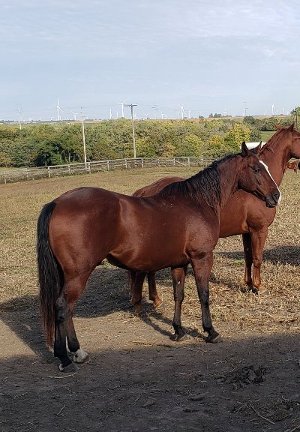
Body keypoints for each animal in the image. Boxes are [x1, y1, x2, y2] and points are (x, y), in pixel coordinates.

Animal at [37, 144, 278, 372]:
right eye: (256, 168)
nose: (276, 196)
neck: (197, 203)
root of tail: (57, 203)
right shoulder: (202, 258)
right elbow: (204, 294)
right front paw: (210, 332)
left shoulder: (179, 263)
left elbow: (179, 295)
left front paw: (178, 330)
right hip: (79, 274)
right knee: (63, 307)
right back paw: (66, 357)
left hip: (67, 275)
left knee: (65, 309)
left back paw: (76, 352)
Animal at [131, 123, 300, 308]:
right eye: (256, 169)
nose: (275, 196)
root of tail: (146, 190)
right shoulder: (259, 230)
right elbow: (257, 258)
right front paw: (258, 286)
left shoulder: (246, 232)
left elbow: (248, 257)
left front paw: (248, 284)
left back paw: (155, 298)